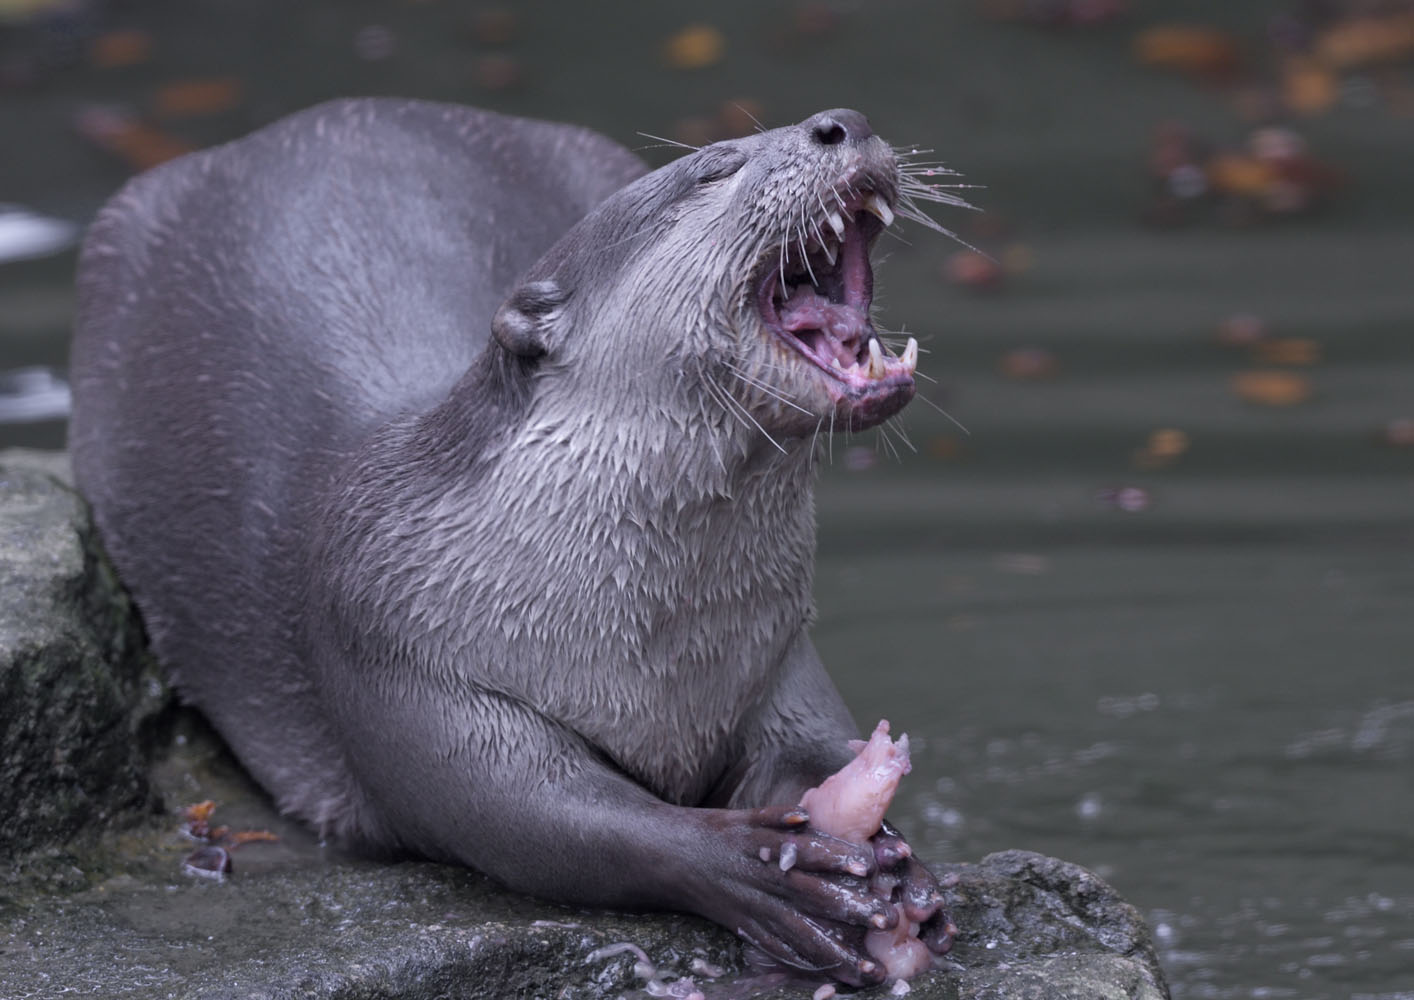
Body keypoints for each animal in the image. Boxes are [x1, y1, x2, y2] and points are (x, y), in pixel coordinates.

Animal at [69, 99, 957, 986]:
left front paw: (896, 863)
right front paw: (754, 867)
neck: (659, 641)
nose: (842, 121)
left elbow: (809, 743)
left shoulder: (773, 642)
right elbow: (529, 813)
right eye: (715, 168)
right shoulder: (389, 630)